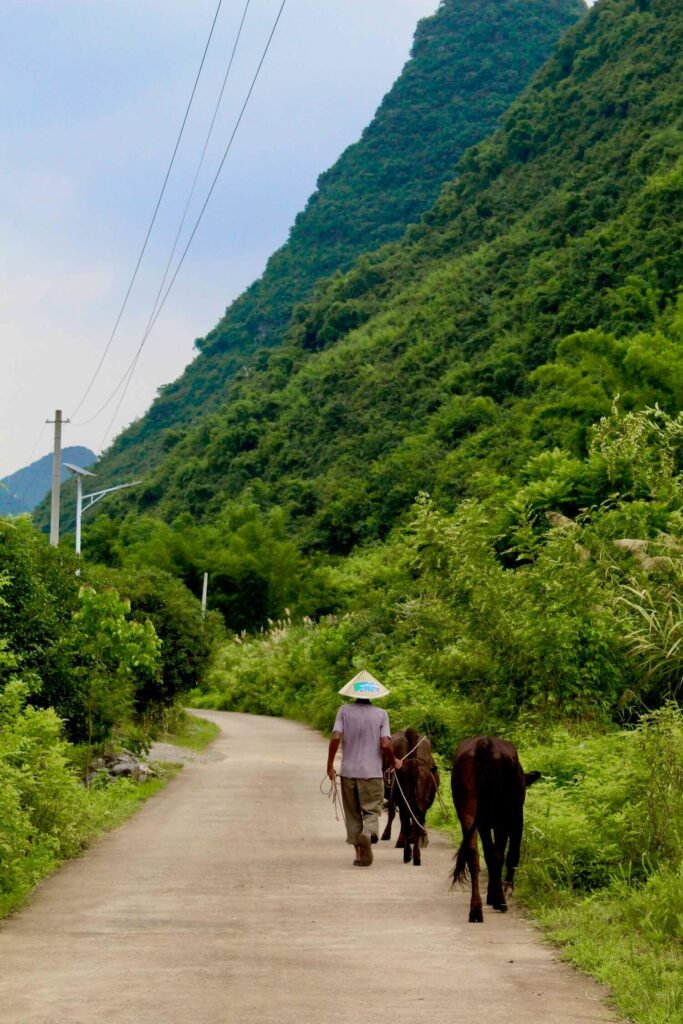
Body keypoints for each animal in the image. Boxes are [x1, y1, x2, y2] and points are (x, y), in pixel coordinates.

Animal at [382, 729, 440, 864]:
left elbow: (394, 815)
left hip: (402, 799)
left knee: (406, 821)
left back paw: (407, 851)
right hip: (419, 802)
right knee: (416, 821)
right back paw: (417, 850)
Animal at [450, 737, 540, 921]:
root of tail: (484, 742)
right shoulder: (515, 818)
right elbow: (512, 854)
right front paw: (504, 889)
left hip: (469, 810)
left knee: (473, 853)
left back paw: (476, 908)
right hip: (501, 813)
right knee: (497, 855)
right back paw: (500, 901)